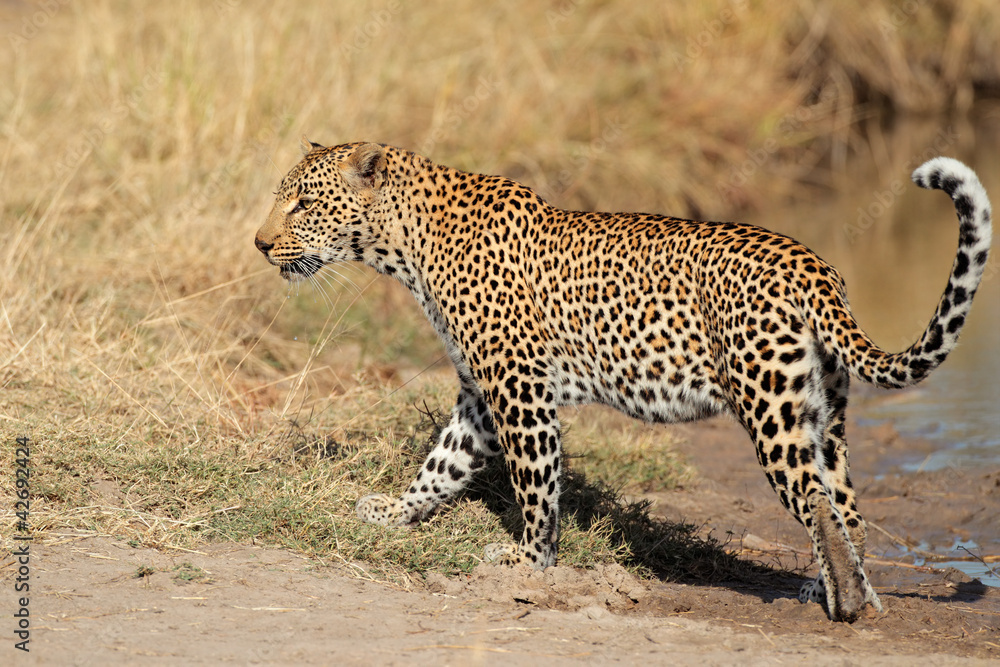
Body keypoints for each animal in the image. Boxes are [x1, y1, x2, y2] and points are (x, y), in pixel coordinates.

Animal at [255, 138, 992, 622]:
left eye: (302, 202)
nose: (260, 244)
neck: (404, 245)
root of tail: (814, 266)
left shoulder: (517, 385)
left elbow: (534, 481)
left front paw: (529, 562)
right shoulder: (479, 393)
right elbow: (441, 463)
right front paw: (392, 511)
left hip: (769, 406)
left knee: (814, 498)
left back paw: (842, 601)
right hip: (821, 411)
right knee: (846, 503)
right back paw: (844, 591)